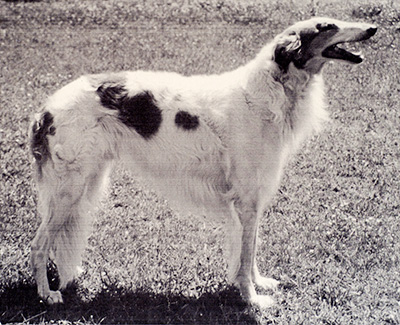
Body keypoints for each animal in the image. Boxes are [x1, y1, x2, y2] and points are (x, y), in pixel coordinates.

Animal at [29, 17, 376, 306]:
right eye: (327, 25)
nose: (372, 28)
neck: (268, 90)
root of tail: (46, 108)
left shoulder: (252, 199)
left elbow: (249, 252)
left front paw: (259, 284)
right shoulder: (247, 199)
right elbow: (245, 256)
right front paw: (252, 300)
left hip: (84, 184)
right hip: (68, 190)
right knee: (38, 245)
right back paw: (48, 294)